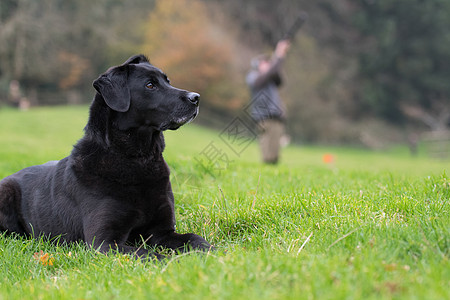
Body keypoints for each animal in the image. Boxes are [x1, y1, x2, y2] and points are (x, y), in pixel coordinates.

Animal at [0, 54, 213, 260]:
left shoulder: (163, 232)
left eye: (167, 81)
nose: (196, 98)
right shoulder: (104, 242)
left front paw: (215, 256)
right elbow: (149, 255)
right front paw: (177, 262)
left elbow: (195, 239)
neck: (137, 159)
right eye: (150, 85)